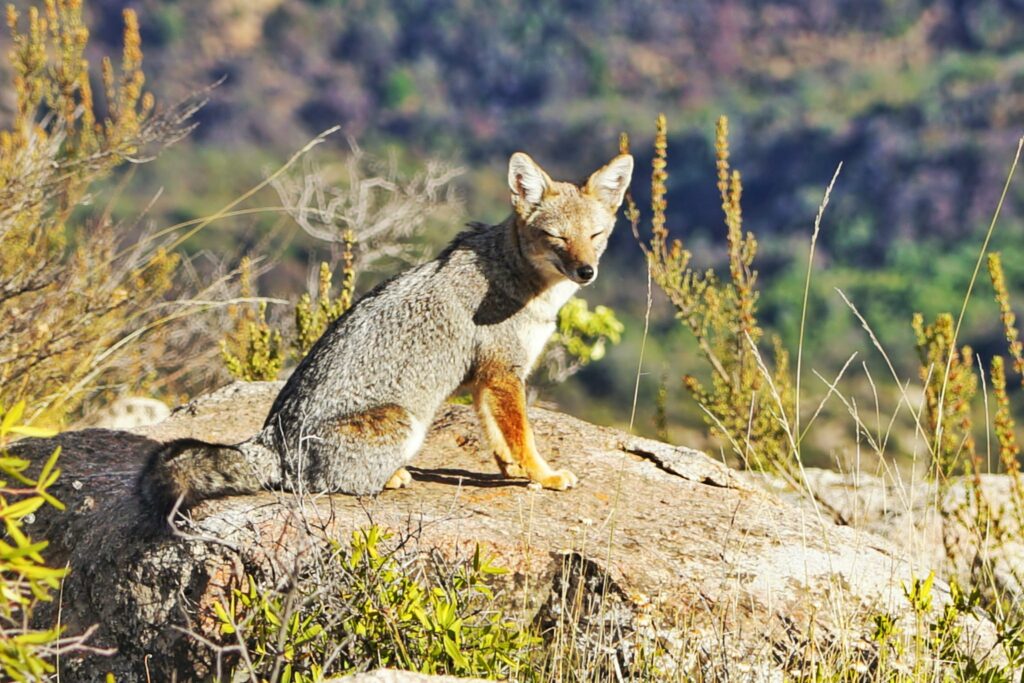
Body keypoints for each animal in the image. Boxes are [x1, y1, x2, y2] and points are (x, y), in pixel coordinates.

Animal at [136, 150, 630, 518]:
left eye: (595, 235)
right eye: (556, 238)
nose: (586, 271)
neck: (515, 279)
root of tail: (272, 442)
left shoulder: (488, 379)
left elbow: (499, 435)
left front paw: (513, 471)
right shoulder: (504, 374)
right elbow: (523, 435)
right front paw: (543, 475)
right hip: (405, 422)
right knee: (321, 484)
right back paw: (392, 476)